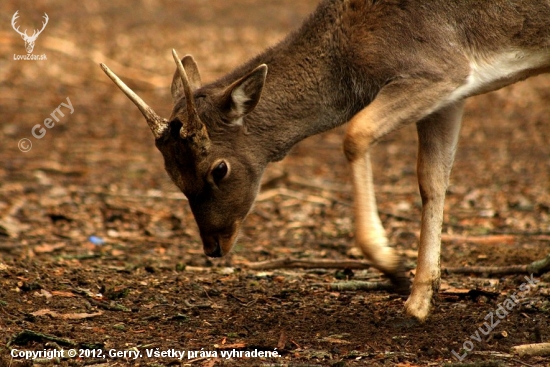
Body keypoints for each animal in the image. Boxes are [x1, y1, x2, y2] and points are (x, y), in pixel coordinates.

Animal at [101, 0, 550, 322]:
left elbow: (355, 134)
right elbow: (432, 179)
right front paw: (419, 301)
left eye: (219, 169)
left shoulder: (439, 67)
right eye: (172, 176)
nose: (213, 246)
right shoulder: (453, 88)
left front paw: (391, 266)